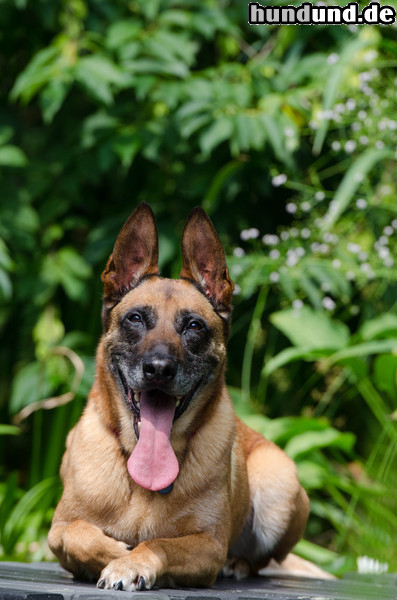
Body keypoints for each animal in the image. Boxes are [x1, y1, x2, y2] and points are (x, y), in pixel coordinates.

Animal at [47, 202, 318, 592]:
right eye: (135, 319)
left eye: (194, 326)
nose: (159, 369)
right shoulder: (58, 530)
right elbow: (80, 535)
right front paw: (116, 553)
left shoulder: (208, 546)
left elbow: (158, 544)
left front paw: (131, 562)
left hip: (277, 483)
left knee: (262, 560)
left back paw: (237, 563)